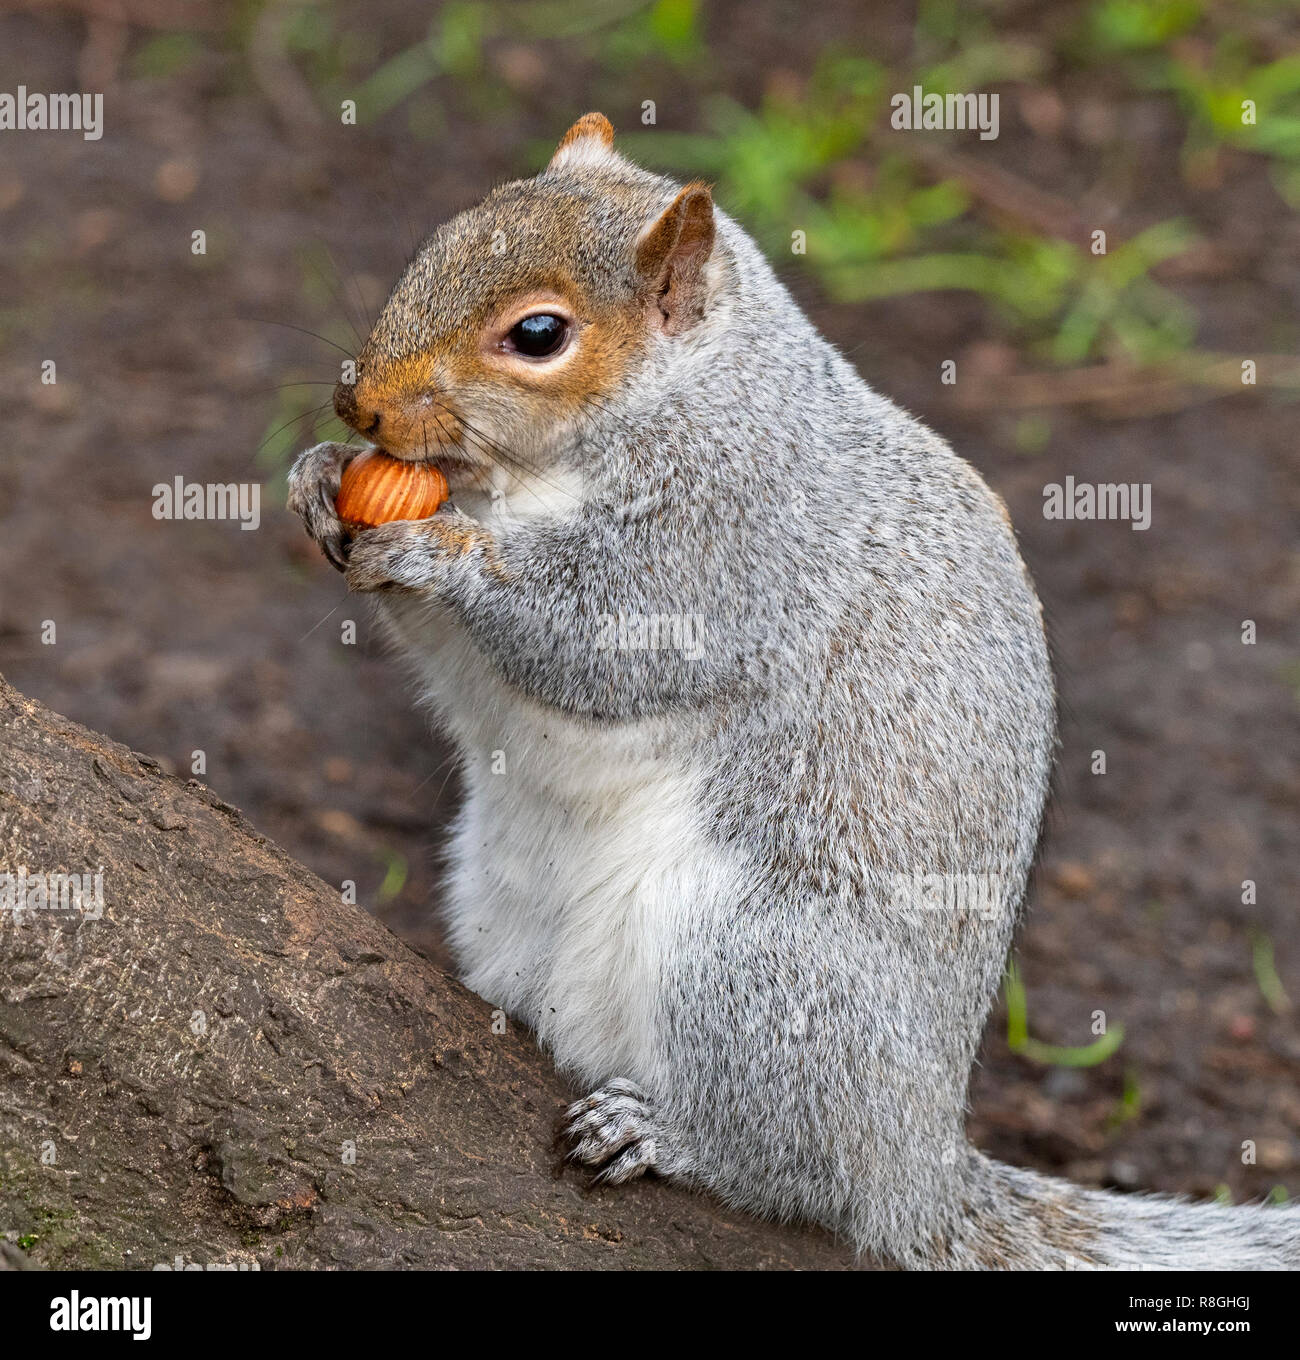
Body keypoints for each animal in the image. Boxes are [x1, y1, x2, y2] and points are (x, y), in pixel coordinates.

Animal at [286, 111, 1300, 1267]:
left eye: (538, 335)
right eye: (443, 235)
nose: (356, 400)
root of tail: (922, 1167)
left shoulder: (730, 548)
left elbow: (594, 639)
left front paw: (436, 550)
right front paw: (319, 477)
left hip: (762, 974)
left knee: (801, 1169)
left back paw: (662, 1134)